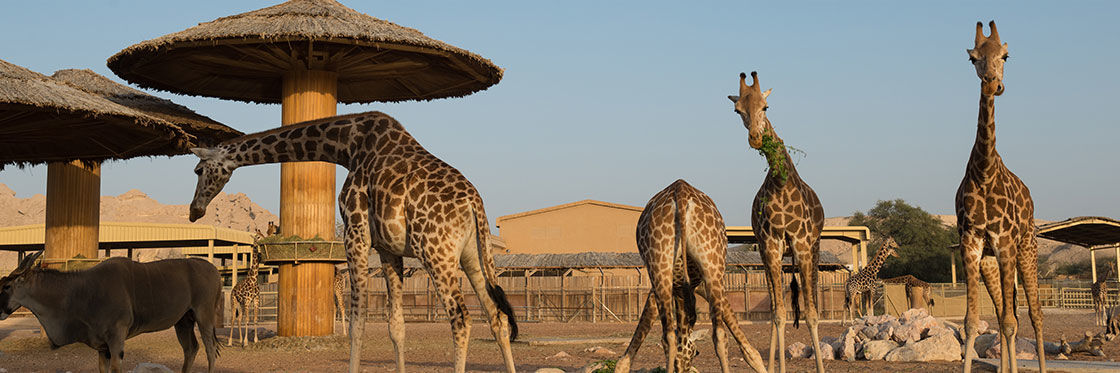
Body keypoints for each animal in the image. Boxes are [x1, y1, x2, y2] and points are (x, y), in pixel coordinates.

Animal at [0, 250, 222, 369]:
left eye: (6, 286)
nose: (0, 310)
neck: (83, 291)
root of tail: (214, 270)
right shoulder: (102, 348)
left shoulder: (116, 342)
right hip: (183, 321)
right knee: (191, 349)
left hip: (204, 317)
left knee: (210, 350)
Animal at [185, 110, 517, 371]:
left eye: (199, 170)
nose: (193, 211)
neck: (346, 145)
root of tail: (474, 205)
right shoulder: (387, 248)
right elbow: (396, 326)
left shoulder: (355, 231)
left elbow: (357, 322)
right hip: (473, 256)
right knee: (497, 315)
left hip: (436, 252)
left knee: (461, 319)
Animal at [618, 179, 766, 371]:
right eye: (695, 352)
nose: (682, 368)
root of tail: (681, 192)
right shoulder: (697, 286)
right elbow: (749, 350)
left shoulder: (665, 289)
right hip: (711, 267)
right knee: (718, 334)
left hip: (663, 265)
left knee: (671, 335)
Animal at [730, 70, 828, 371]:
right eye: (738, 110)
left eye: (766, 107)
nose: (755, 138)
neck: (781, 183)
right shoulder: (771, 245)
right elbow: (778, 315)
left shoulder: (803, 244)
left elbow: (811, 314)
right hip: (768, 254)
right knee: (776, 307)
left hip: (812, 250)